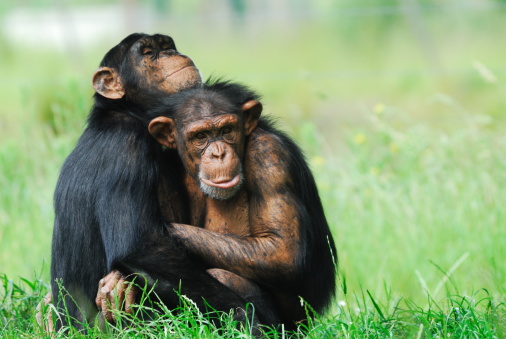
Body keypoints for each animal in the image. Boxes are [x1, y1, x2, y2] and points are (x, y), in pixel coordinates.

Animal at [49, 34, 270, 332]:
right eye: (148, 52)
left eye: (167, 46)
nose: (170, 53)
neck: (127, 112)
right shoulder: (128, 149)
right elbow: (143, 246)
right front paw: (243, 315)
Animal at [102, 81, 338, 330]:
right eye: (200, 136)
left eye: (226, 130)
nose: (218, 152)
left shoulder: (270, 157)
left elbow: (281, 250)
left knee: (228, 277)